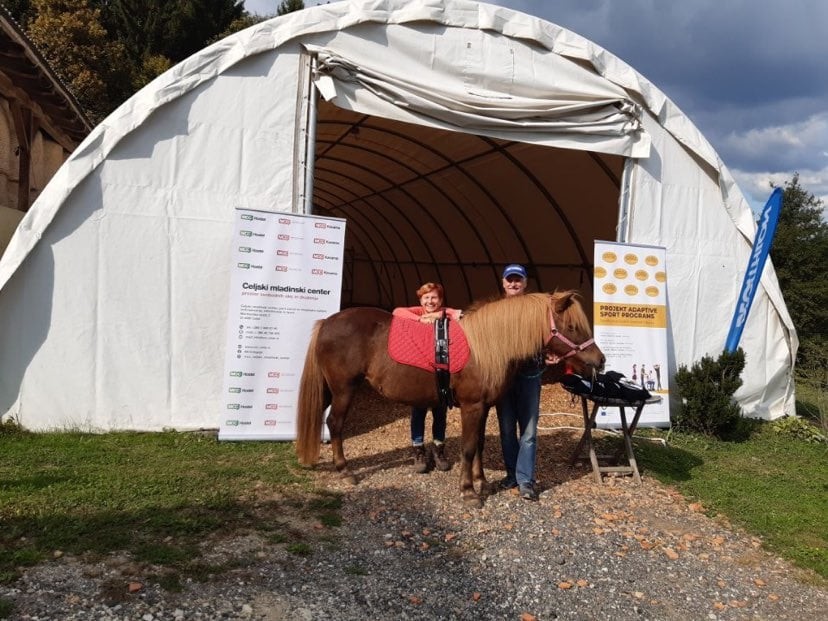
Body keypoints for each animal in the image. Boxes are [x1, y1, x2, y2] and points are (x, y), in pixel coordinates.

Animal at [296, 290, 600, 504]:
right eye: (572, 327)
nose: (599, 360)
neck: (486, 347)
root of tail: (328, 322)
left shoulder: (484, 407)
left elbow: (478, 444)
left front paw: (481, 482)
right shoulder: (471, 407)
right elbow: (468, 447)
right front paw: (468, 492)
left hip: (329, 390)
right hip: (344, 390)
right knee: (335, 424)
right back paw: (344, 470)